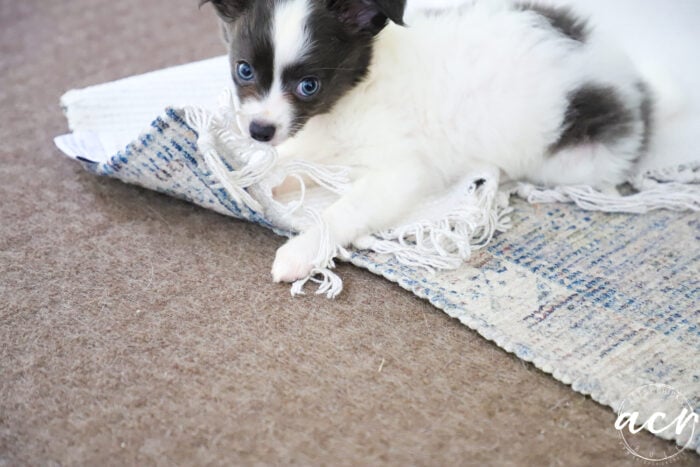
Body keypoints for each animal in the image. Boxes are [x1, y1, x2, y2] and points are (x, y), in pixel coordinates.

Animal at [200, 0, 652, 282]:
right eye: (243, 70)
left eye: (309, 85)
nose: (259, 131)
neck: (354, 93)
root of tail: (628, 83)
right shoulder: (311, 139)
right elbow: (283, 164)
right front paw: (247, 179)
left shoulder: (400, 171)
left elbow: (345, 209)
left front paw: (303, 250)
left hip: (572, 158)